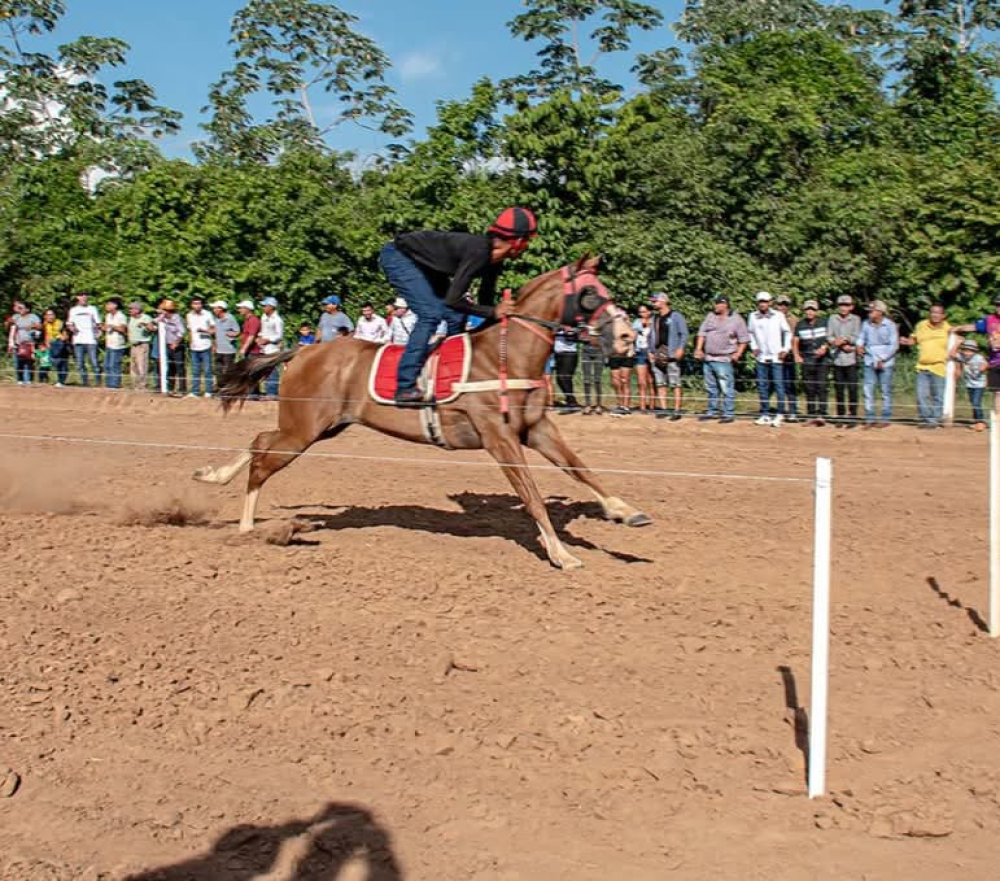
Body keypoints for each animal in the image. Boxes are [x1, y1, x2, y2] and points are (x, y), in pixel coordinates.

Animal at [192, 254, 652, 572]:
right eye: (591, 294)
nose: (627, 337)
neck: (506, 357)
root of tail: (304, 350)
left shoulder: (536, 428)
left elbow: (579, 468)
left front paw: (626, 511)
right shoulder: (499, 438)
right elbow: (533, 496)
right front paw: (561, 554)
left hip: (321, 427)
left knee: (259, 442)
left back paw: (214, 477)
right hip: (303, 428)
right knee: (262, 458)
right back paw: (247, 526)